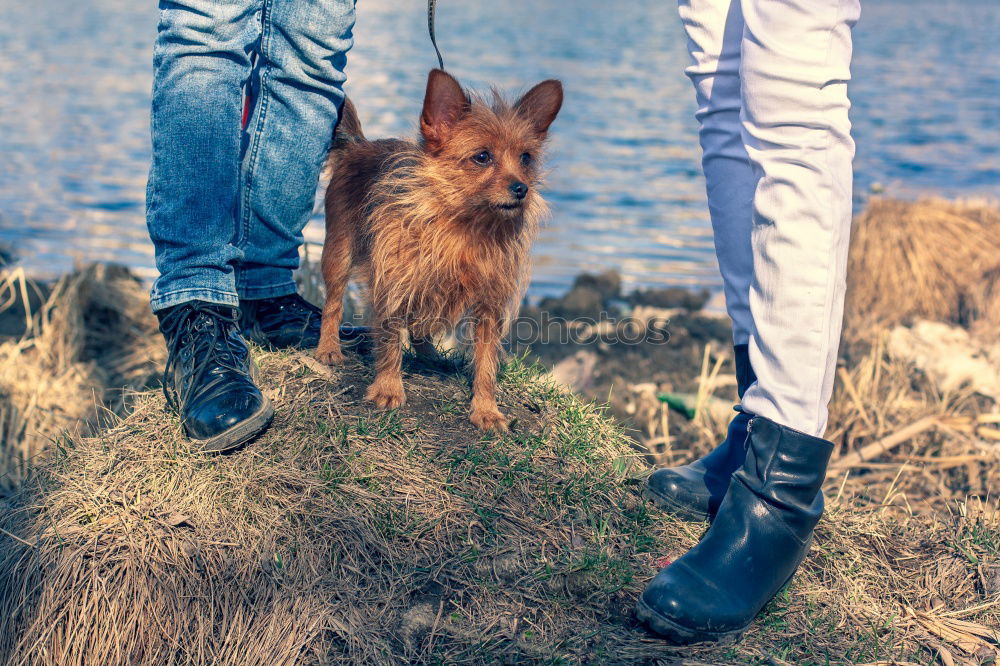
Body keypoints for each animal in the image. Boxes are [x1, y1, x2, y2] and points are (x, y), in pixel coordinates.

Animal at [316, 68, 560, 430]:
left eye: (525, 158)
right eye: (482, 157)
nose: (522, 189)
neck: (464, 225)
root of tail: (359, 146)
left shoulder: (489, 304)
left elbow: (486, 363)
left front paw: (485, 409)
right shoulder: (393, 282)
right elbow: (389, 336)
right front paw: (388, 388)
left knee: (420, 321)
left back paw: (429, 354)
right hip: (338, 253)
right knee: (332, 303)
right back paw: (329, 348)